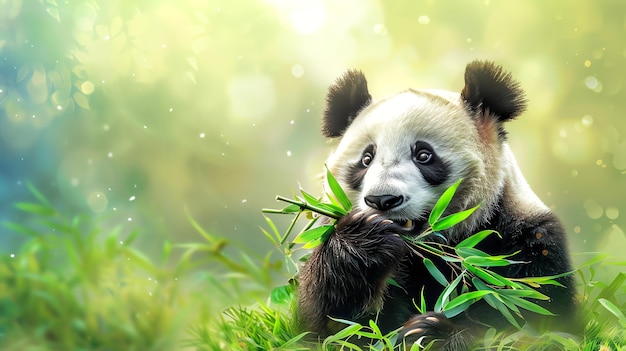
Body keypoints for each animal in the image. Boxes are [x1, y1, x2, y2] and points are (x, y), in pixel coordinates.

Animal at [296, 60, 576, 350]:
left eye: (423, 155)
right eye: (366, 159)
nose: (382, 200)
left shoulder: (529, 243)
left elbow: (532, 319)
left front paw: (431, 333)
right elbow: (333, 329)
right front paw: (364, 241)